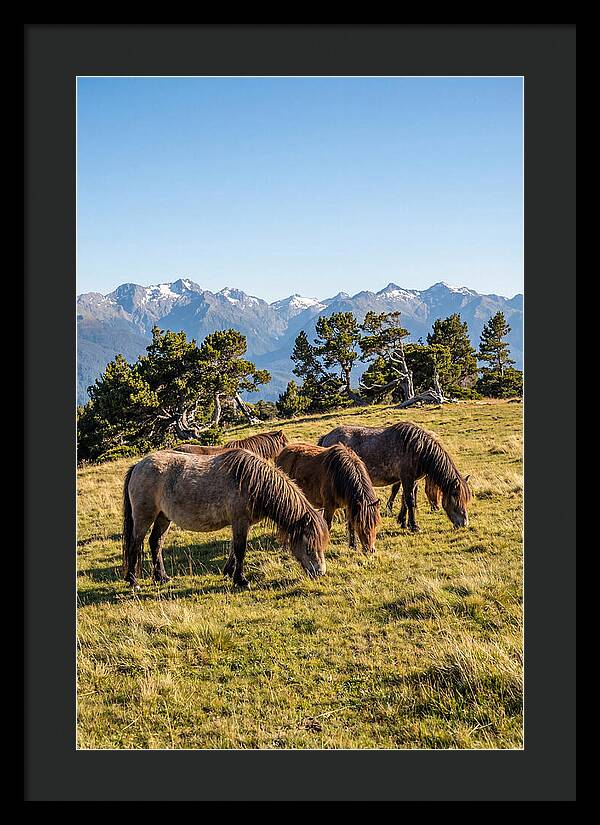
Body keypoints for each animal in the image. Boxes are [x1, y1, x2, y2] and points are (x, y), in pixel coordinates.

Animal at [122, 448, 329, 589]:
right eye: (309, 545)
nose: (320, 572)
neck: (252, 482)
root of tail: (138, 465)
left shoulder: (242, 523)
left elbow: (233, 549)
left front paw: (229, 572)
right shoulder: (240, 521)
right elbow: (240, 550)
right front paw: (241, 580)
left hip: (163, 517)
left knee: (155, 543)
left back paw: (161, 577)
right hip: (144, 516)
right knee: (135, 544)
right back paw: (133, 581)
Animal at [318, 421, 470, 531]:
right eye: (456, 497)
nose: (464, 523)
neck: (418, 448)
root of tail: (326, 437)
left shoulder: (412, 480)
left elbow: (406, 499)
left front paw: (403, 522)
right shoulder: (407, 478)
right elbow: (410, 500)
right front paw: (414, 526)